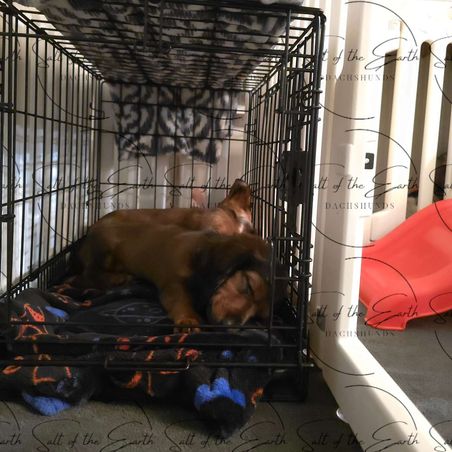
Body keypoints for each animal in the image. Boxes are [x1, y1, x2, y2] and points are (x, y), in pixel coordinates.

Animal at [77, 224, 270, 333]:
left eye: (258, 316)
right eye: (249, 286)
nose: (230, 327)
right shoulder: (172, 284)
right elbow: (180, 298)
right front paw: (188, 319)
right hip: (106, 253)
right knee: (88, 274)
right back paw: (118, 279)